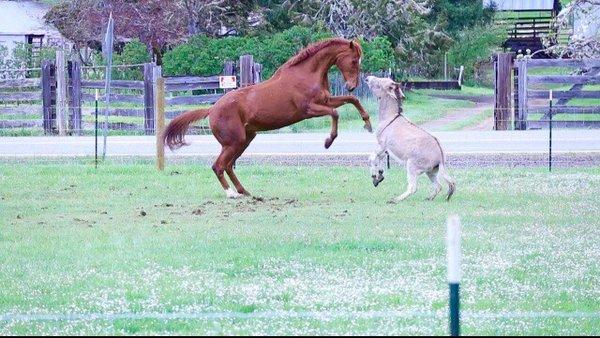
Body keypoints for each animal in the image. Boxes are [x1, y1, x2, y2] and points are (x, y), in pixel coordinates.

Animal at [164, 38, 370, 198]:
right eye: (354, 61)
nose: (351, 86)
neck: (307, 74)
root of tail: (212, 109)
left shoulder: (326, 100)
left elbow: (352, 100)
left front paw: (367, 123)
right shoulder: (308, 109)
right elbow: (335, 113)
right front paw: (328, 141)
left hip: (244, 140)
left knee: (228, 166)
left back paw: (244, 191)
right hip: (234, 142)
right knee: (218, 166)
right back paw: (231, 194)